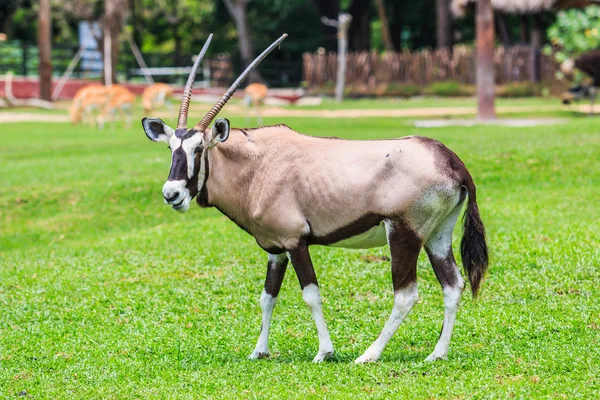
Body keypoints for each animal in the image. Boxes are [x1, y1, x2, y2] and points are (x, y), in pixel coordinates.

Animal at [141, 34, 488, 364]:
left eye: (199, 148)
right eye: (171, 147)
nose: (171, 193)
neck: (258, 165)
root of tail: (450, 160)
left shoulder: (295, 242)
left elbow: (311, 295)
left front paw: (324, 352)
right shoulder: (276, 248)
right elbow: (268, 296)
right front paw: (259, 351)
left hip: (404, 233)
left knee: (406, 295)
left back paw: (369, 355)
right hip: (437, 235)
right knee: (453, 285)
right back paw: (437, 353)